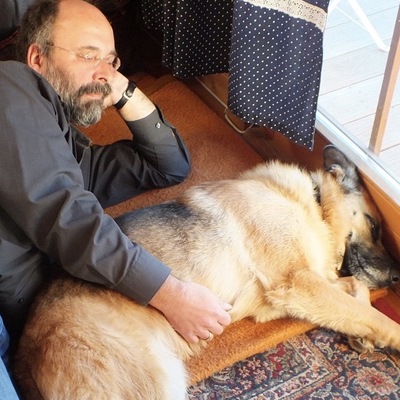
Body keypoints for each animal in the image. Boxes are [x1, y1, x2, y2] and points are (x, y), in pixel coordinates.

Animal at [14, 145, 400, 399]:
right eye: (376, 226)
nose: (397, 277)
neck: (313, 204)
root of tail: (25, 351)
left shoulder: (299, 292)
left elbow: (357, 293)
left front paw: (364, 337)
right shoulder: (298, 282)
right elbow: (372, 313)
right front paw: (390, 336)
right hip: (156, 382)